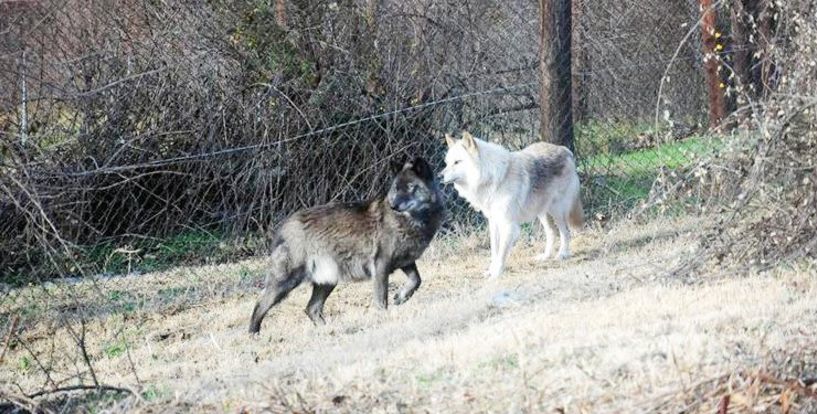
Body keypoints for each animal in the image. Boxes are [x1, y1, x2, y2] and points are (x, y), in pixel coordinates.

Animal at [249, 156, 444, 334]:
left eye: (411, 187)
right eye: (396, 188)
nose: (394, 205)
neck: (413, 221)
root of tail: (284, 226)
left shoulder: (405, 262)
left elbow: (416, 280)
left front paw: (401, 297)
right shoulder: (381, 265)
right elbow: (382, 299)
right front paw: (384, 319)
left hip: (327, 282)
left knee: (311, 309)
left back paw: (328, 331)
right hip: (286, 281)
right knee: (260, 304)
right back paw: (253, 334)